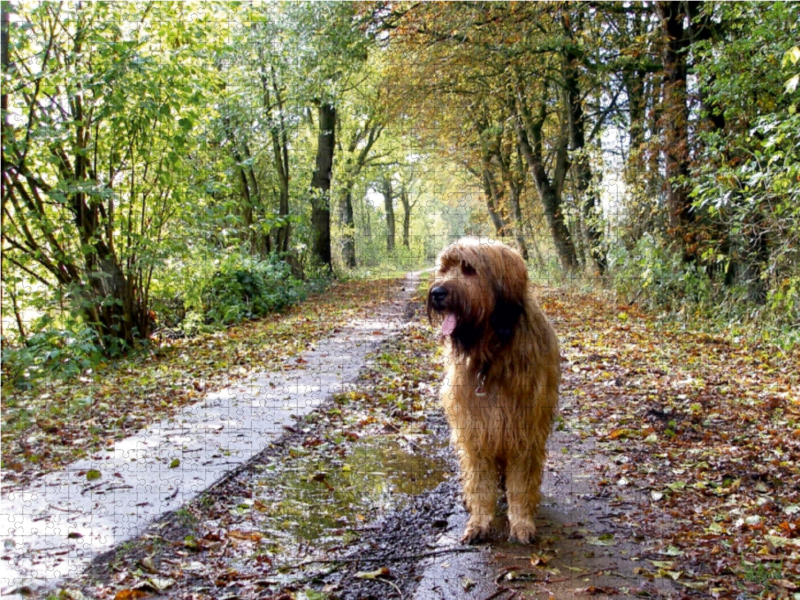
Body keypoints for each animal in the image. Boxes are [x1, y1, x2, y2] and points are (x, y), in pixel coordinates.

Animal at [424, 238, 564, 544]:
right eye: (444, 268)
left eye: (469, 269)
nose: (437, 293)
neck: (491, 352)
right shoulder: (475, 428)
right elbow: (479, 481)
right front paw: (480, 521)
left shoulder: (524, 430)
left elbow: (521, 482)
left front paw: (521, 522)